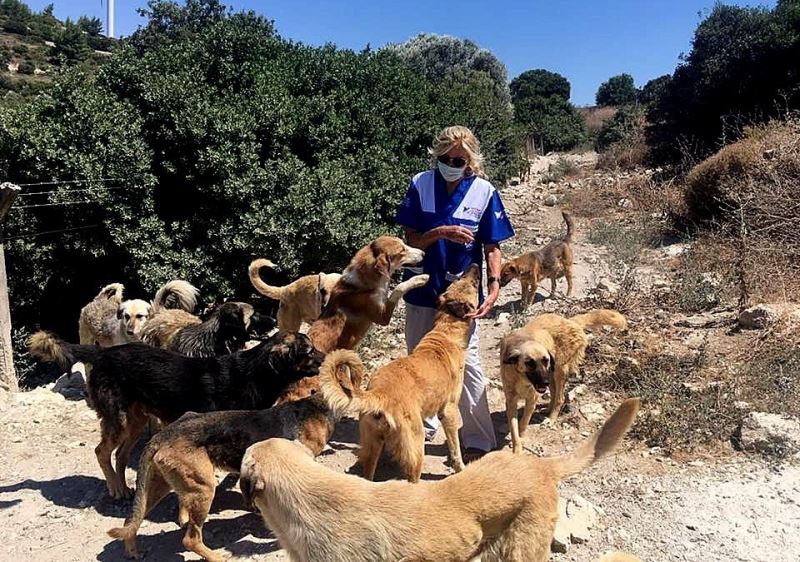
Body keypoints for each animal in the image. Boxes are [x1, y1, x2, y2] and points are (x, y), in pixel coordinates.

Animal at [28, 326, 322, 496]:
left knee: (120, 455)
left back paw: (125, 488)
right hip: (118, 419)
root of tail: (102, 354)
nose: (324, 358)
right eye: (308, 351)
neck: (256, 373)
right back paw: (115, 489)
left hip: (136, 421)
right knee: (101, 451)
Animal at [108, 388, 348, 560]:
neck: (314, 408)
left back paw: (133, 551)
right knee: (190, 540)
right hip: (204, 489)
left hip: (160, 486)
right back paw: (215, 557)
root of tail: (162, 435)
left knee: (131, 521)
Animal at [320, 264, 482, 480]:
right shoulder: (448, 411)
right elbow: (455, 450)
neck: (446, 331)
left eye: (459, 279)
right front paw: (461, 468)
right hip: (415, 446)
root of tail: (379, 394)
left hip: (372, 445)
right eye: (473, 284)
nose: (474, 265)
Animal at [504, 306, 628, 450]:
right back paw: (548, 409)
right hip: (552, 373)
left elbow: (523, 424)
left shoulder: (531, 399)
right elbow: (514, 428)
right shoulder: (511, 402)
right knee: (553, 392)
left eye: (545, 360)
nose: (544, 382)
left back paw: (551, 419)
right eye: (530, 363)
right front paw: (516, 446)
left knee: (560, 397)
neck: (521, 377)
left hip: (559, 370)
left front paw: (521, 440)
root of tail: (570, 321)